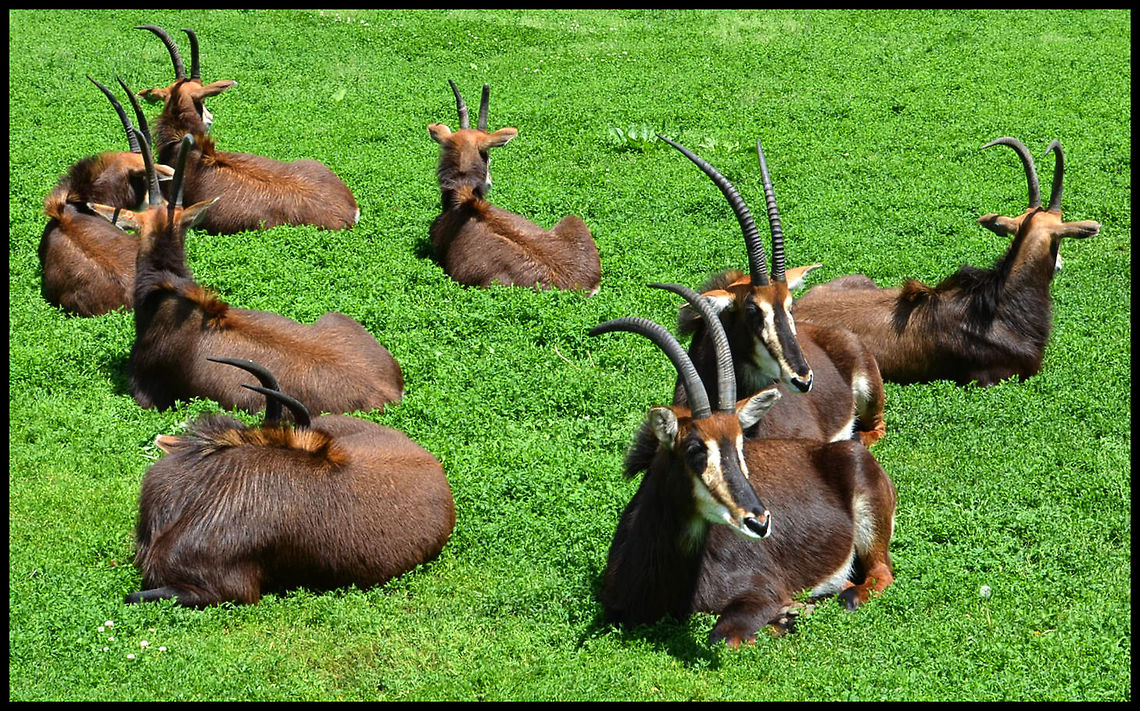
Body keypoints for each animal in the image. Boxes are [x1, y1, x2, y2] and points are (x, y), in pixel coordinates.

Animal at [590, 288, 896, 647]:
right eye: (694, 448)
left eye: (740, 444)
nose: (759, 521)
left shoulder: (761, 591)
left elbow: (722, 636)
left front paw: (786, 617)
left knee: (880, 574)